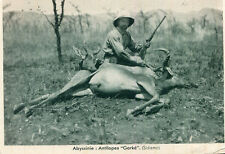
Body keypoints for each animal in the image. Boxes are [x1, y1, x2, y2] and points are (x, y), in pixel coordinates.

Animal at [13, 47, 197, 117]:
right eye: (176, 73)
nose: (193, 84)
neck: (155, 79)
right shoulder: (145, 84)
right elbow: (159, 97)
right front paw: (132, 111)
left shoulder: (140, 94)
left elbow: (165, 99)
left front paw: (146, 109)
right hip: (77, 83)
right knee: (54, 94)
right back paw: (26, 109)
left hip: (82, 90)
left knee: (55, 94)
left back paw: (19, 106)